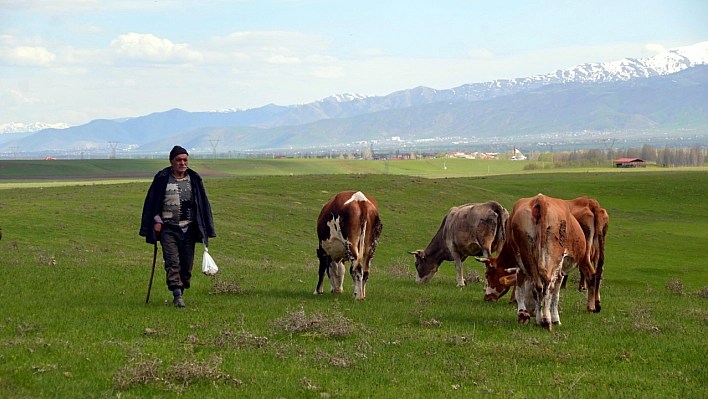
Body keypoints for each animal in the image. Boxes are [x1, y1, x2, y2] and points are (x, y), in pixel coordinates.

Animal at [504, 195, 596, 332]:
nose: (530, 313)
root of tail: (540, 199)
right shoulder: (559, 270)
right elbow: (555, 293)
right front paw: (555, 318)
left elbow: (522, 289)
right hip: (557, 257)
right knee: (550, 286)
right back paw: (548, 321)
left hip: (525, 254)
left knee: (538, 286)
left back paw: (535, 319)